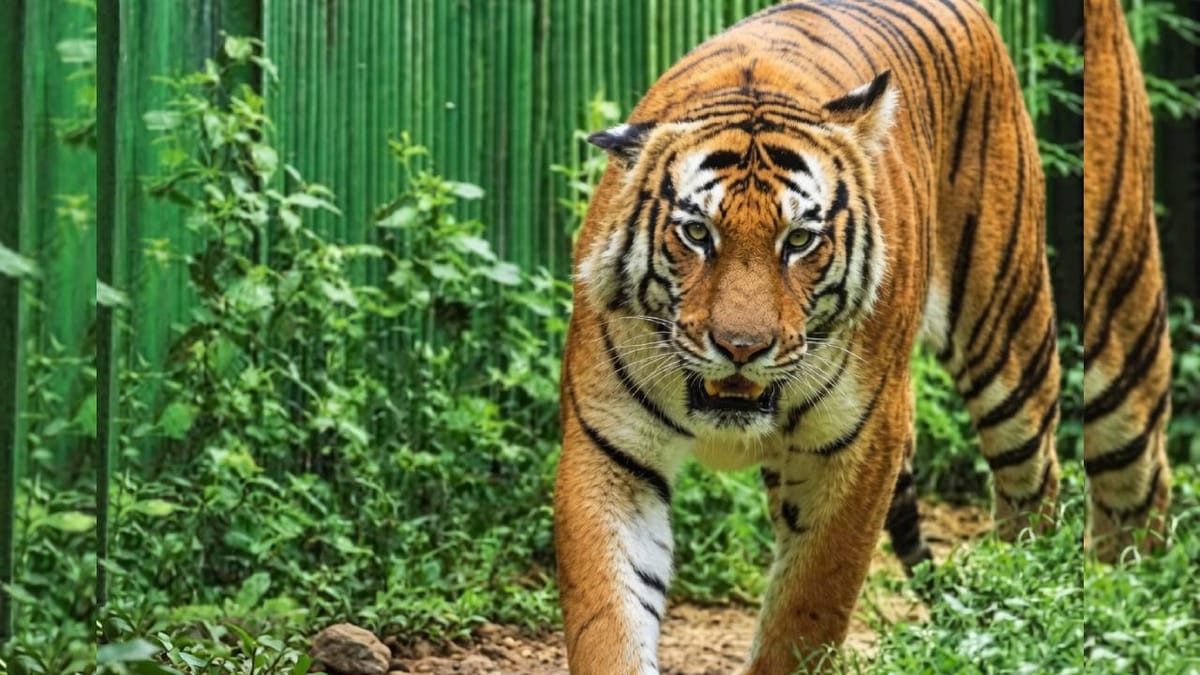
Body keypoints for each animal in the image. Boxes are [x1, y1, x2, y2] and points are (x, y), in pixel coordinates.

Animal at [554, 1, 1060, 672]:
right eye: (696, 233)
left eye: (798, 240)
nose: (741, 348)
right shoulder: (610, 448)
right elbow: (608, 613)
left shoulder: (861, 447)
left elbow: (808, 606)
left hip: (1007, 332)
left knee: (1037, 482)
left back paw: (1029, 602)